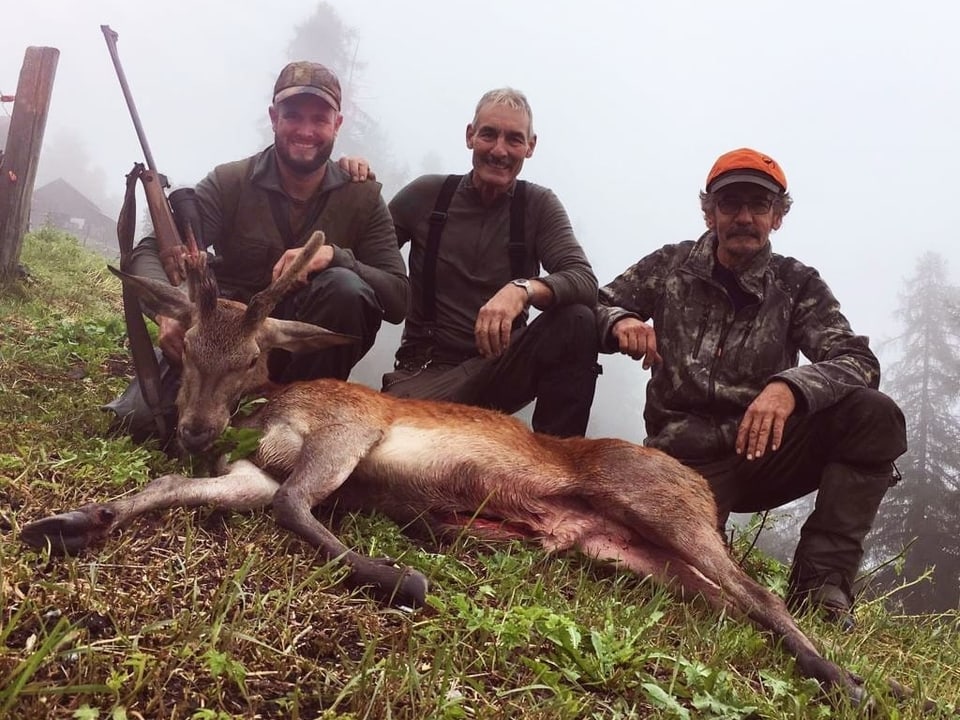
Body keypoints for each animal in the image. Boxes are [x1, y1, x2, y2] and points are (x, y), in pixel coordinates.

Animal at [16, 232, 924, 708]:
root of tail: (700, 483)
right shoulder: (258, 469)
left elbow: (296, 509)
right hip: (639, 555)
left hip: (662, 508)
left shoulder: (348, 428)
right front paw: (69, 522)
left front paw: (397, 577)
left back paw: (846, 679)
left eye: (249, 357)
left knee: (765, 596)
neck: (274, 417)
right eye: (183, 351)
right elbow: (176, 491)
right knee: (738, 604)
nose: (195, 428)